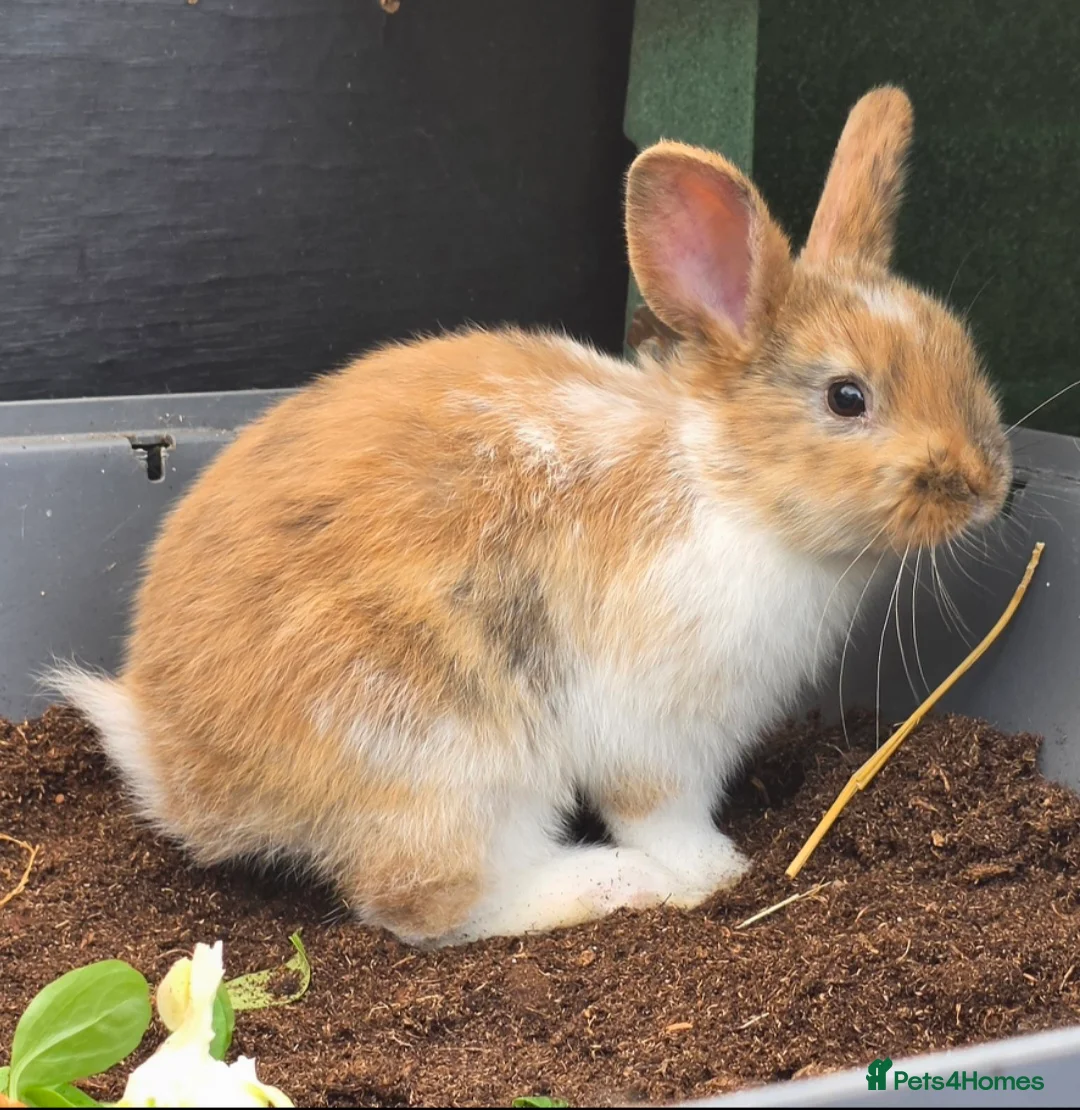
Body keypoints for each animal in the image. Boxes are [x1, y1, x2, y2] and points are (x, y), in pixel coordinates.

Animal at [51, 86, 1011, 946]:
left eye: (959, 348)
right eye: (847, 397)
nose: (990, 485)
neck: (728, 485)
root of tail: (182, 774)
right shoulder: (656, 733)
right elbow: (660, 812)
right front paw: (718, 875)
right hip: (452, 758)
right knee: (425, 905)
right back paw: (616, 884)